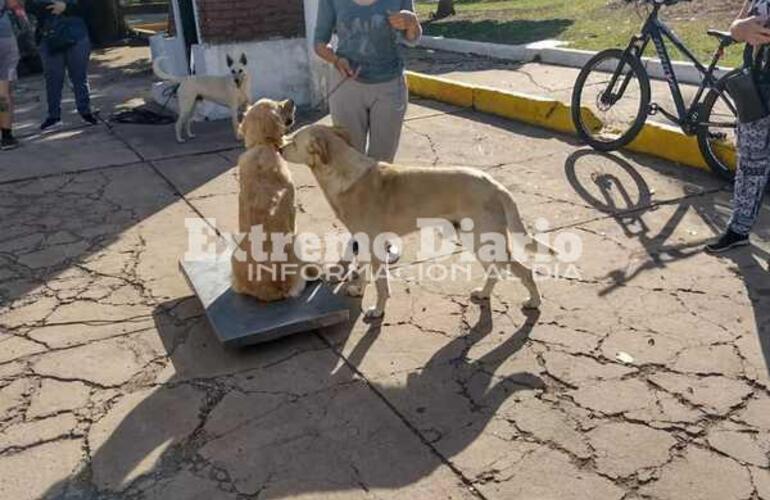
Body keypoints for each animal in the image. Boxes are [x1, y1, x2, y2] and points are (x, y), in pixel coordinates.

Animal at [280, 125, 544, 320]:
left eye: (293, 141)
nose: (280, 147)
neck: (343, 173)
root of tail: (495, 185)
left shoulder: (375, 245)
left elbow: (381, 285)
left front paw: (378, 310)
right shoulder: (363, 241)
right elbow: (363, 271)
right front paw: (358, 289)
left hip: (485, 239)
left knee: (525, 270)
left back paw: (534, 301)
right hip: (475, 239)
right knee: (495, 270)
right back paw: (484, 294)